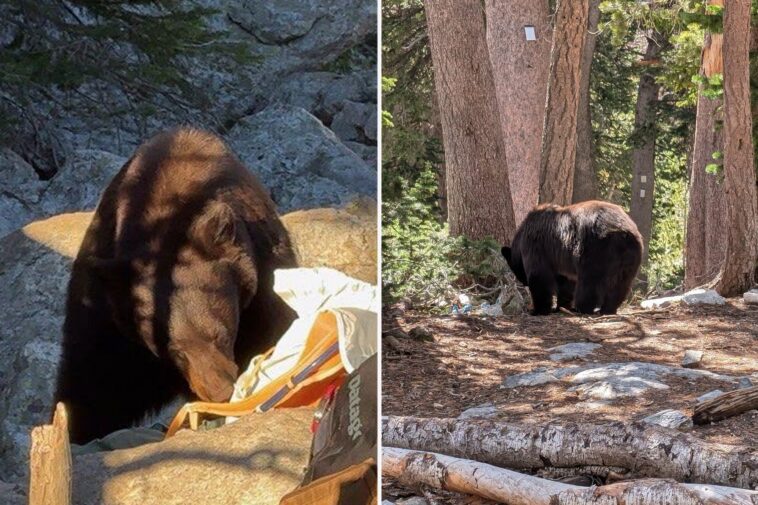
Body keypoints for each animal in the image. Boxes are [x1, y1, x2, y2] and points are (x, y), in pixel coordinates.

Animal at [54, 128, 297, 444]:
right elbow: (95, 376)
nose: (218, 392)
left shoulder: (262, 275)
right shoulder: (110, 309)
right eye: (176, 351)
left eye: (220, 334)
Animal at [501, 201, 643, 316]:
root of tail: (623, 231)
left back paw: (582, 308)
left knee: (589, 281)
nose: (523, 283)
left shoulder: (536, 247)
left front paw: (538, 310)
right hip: (631, 256)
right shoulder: (561, 261)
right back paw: (608, 309)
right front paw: (560, 306)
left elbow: (539, 276)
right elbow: (566, 282)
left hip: (595, 249)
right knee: (621, 284)